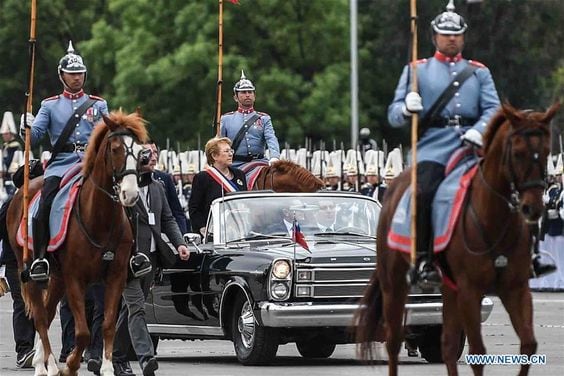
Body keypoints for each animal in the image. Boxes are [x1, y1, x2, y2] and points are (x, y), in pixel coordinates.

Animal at [7, 111, 148, 376]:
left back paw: (43, 361)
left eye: (140, 152)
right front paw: (70, 366)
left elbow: (108, 324)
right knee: (40, 317)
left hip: (57, 277)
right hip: (30, 271)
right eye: (115, 148)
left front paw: (107, 368)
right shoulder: (75, 278)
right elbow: (82, 332)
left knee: (48, 312)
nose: (131, 194)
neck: (99, 218)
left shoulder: (116, 276)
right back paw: (48, 366)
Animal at [356, 100, 560, 376]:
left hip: (448, 288)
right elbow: (478, 352)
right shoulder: (470, 291)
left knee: (448, 344)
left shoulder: (515, 288)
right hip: (394, 284)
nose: (533, 208)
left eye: (547, 152)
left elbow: (528, 345)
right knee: (393, 342)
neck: (491, 217)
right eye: (517, 153)